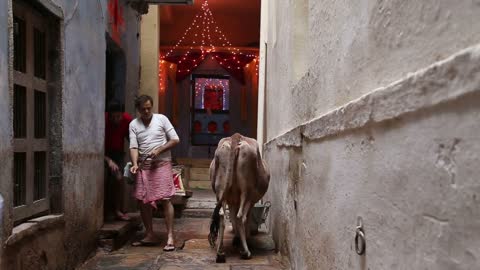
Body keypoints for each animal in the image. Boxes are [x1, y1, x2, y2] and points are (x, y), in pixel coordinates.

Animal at [208, 134, 272, 262]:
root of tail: (236, 136)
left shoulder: (232, 201)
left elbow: (232, 217)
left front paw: (236, 239)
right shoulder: (251, 201)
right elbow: (244, 219)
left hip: (220, 191)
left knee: (222, 216)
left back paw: (220, 253)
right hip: (246, 192)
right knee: (241, 217)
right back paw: (246, 252)